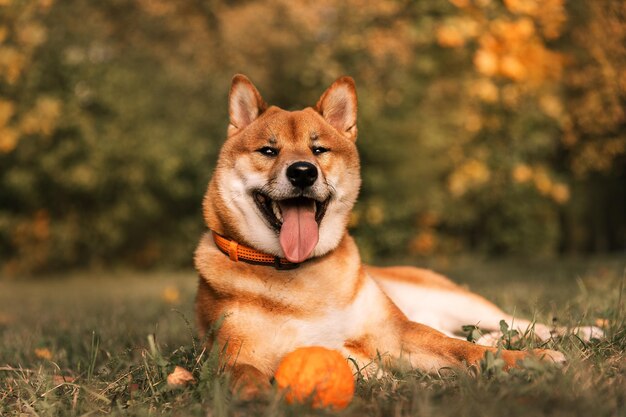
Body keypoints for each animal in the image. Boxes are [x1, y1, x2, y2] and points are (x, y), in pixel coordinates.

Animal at [194, 74, 600, 394]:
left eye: (319, 149)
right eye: (268, 150)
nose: (303, 172)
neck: (301, 275)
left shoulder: (398, 333)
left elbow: (467, 351)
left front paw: (532, 359)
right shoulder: (235, 356)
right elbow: (245, 379)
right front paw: (258, 401)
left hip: (457, 301)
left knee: (514, 324)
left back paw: (586, 331)